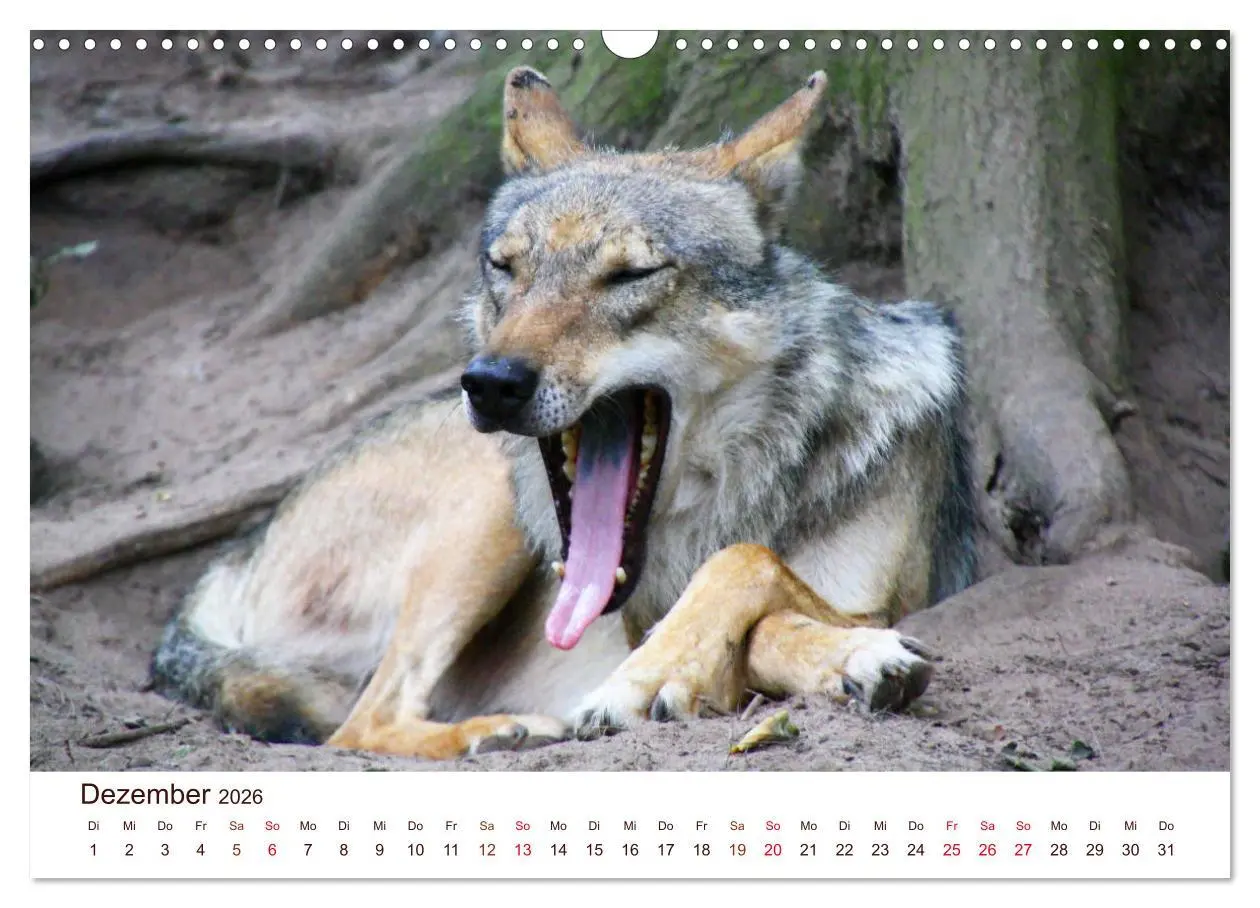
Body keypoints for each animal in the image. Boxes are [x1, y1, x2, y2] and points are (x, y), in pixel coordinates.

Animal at [150, 67, 977, 760]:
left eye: (632, 274)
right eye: (506, 268)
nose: (490, 383)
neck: (748, 484)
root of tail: (236, 554)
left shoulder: (902, 597)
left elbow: (748, 570)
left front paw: (840, 660)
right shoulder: (643, 612)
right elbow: (749, 586)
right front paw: (646, 681)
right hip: (487, 514)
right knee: (360, 725)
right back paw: (501, 730)